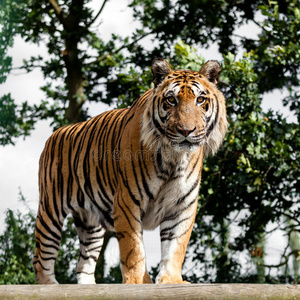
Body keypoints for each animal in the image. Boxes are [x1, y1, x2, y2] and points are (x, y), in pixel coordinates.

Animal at [32, 58, 227, 284]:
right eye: (171, 100)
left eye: (200, 99)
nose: (186, 131)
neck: (174, 158)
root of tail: (55, 134)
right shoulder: (127, 201)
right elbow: (133, 249)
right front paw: (137, 282)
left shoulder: (182, 206)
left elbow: (175, 247)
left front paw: (171, 280)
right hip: (50, 210)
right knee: (41, 257)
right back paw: (50, 285)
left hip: (91, 224)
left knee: (84, 263)